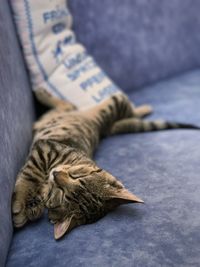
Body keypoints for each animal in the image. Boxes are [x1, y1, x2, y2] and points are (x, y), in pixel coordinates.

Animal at [11, 90, 198, 241]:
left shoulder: (44, 151)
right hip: (113, 103)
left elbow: (31, 177)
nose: (56, 175)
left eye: (61, 193)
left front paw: (29, 208)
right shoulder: (46, 149)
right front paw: (24, 203)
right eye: (79, 176)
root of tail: (106, 129)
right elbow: (29, 177)